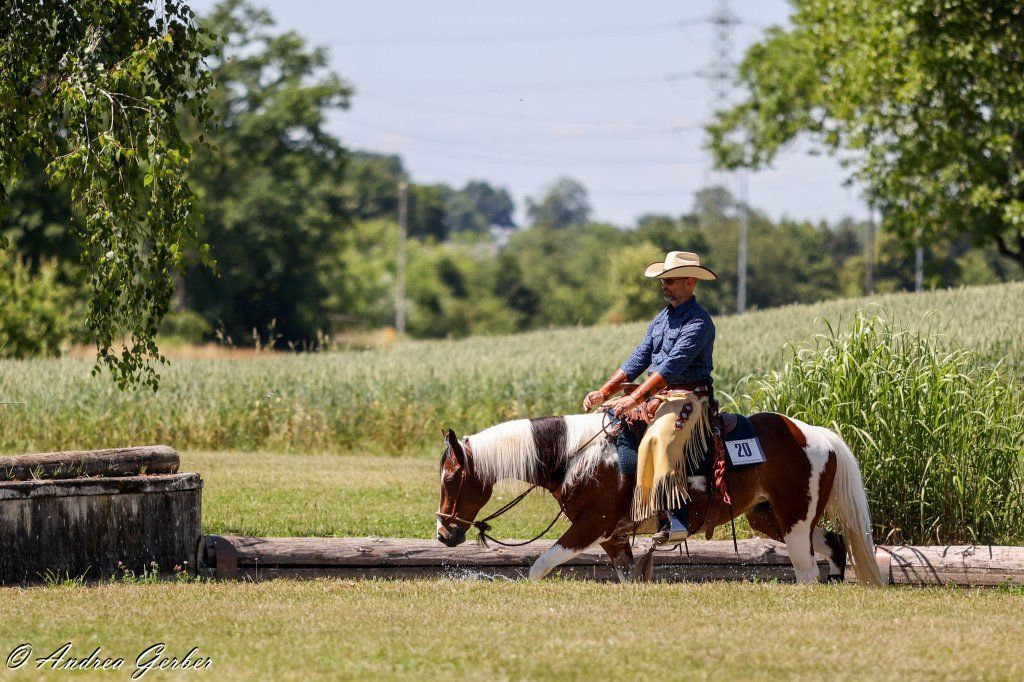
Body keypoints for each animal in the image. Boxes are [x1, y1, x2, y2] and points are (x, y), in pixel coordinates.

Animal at [435, 410, 884, 585]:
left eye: (452, 479)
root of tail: (816, 434)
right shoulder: (613, 536)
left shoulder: (591, 526)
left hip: (793, 517)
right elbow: (628, 575)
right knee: (833, 545)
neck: (578, 455)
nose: (443, 533)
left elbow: (539, 566)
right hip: (770, 517)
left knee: (807, 569)